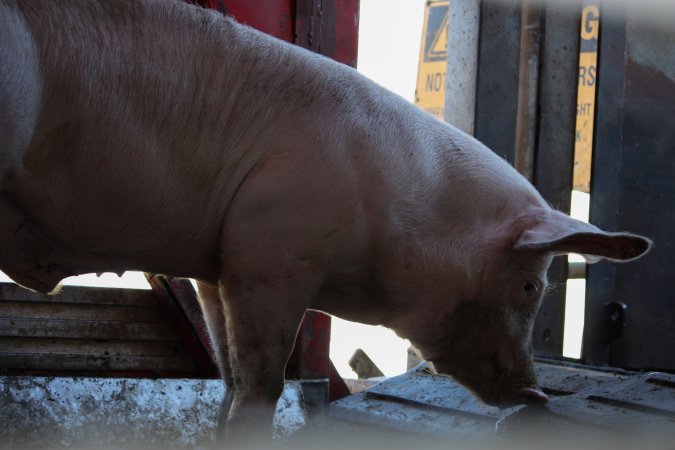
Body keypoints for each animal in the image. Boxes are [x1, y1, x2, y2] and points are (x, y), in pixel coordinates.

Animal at [1, 0, 656, 442]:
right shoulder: (271, 256)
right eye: (529, 285)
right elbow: (261, 383)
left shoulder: (217, 265)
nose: (537, 392)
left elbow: (227, 374)